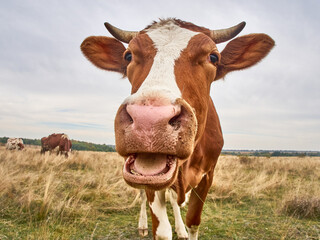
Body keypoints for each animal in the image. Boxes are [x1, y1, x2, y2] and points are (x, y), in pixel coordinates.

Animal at [80, 17, 276, 239]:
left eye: (213, 57)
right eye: (128, 55)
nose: (149, 120)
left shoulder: (208, 176)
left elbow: (193, 221)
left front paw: (184, 228)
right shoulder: (150, 179)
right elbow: (162, 230)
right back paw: (142, 225)